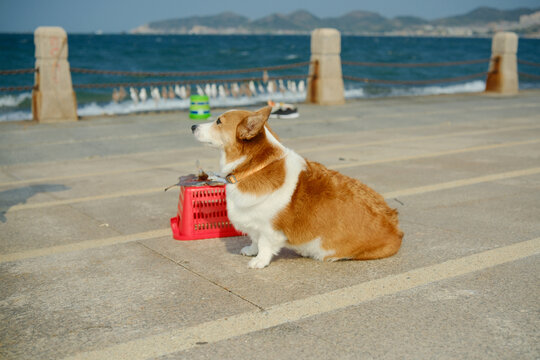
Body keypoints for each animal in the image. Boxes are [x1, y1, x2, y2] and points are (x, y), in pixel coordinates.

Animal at [192, 105, 402, 268]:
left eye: (218, 121)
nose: (192, 125)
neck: (252, 167)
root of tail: (397, 231)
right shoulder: (254, 224)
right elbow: (254, 239)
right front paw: (251, 250)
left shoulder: (269, 228)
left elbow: (264, 245)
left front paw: (259, 261)